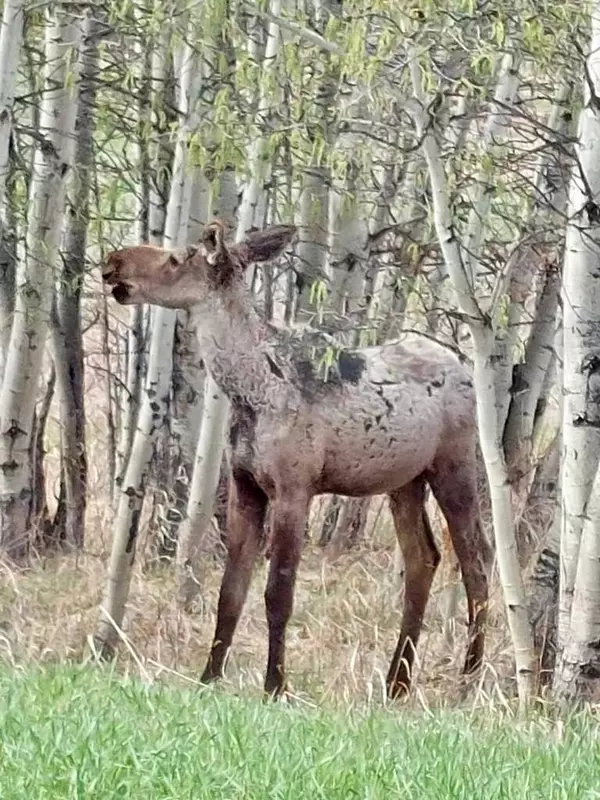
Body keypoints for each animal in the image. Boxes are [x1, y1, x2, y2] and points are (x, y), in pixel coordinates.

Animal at [103, 220, 494, 700]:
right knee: (424, 559)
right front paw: (209, 676)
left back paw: (467, 680)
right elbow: (230, 591)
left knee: (478, 558)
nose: (113, 262)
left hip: (455, 466)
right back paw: (396, 682)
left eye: (178, 258)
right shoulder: (245, 487)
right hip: (404, 481)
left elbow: (278, 592)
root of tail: (464, 367)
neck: (247, 390)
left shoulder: (294, 487)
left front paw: (275, 684)